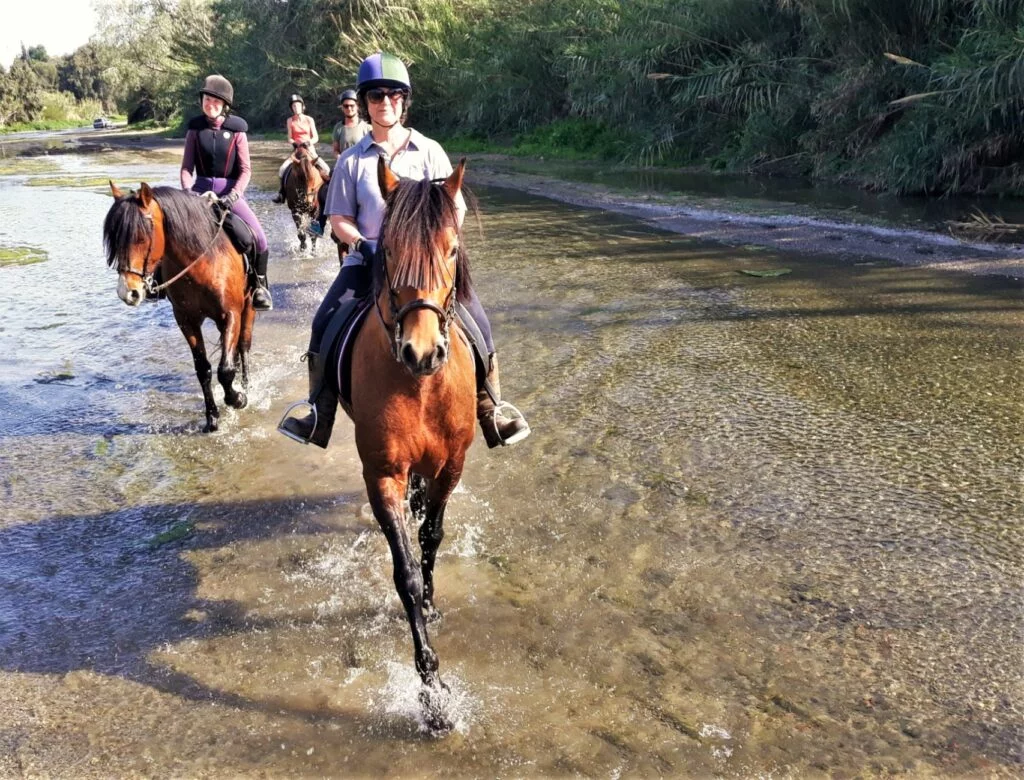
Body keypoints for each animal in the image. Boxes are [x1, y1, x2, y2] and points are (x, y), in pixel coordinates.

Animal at [103, 182, 256, 431]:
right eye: (116, 239)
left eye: (141, 237)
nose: (127, 293)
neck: (200, 262)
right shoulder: (186, 320)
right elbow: (203, 369)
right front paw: (212, 418)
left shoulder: (230, 313)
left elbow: (225, 370)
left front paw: (238, 398)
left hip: (249, 305)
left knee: (243, 345)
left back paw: (246, 385)